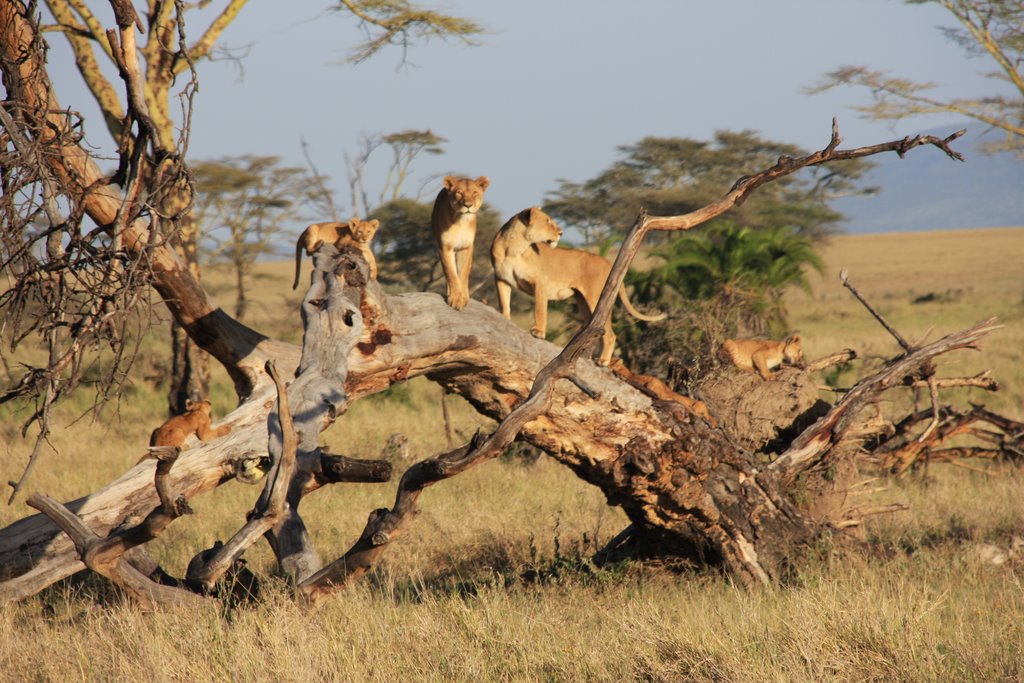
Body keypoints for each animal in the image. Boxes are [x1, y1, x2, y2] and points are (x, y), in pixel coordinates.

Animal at [432, 175, 491, 309]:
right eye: (459, 193)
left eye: (474, 193)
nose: (467, 205)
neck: (461, 221)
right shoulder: (445, 247)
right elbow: (451, 273)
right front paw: (455, 298)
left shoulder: (466, 247)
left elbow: (463, 273)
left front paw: (463, 297)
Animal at [491, 206, 667, 366]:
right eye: (548, 221)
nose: (561, 233)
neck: (514, 247)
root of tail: (607, 262)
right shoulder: (501, 278)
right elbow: (504, 303)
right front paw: (504, 319)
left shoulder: (541, 282)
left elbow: (540, 309)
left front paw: (539, 332)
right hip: (583, 301)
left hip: (595, 299)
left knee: (610, 334)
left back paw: (603, 361)